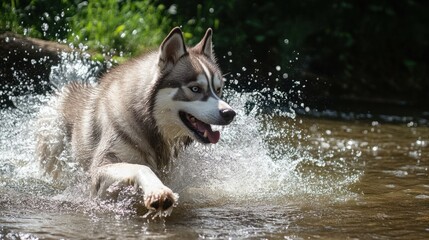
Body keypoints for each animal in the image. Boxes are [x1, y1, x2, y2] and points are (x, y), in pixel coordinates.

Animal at [36, 27, 236, 216]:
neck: (147, 124)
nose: (230, 113)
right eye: (195, 89)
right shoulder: (101, 168)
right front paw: (158, 191)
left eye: (218, 89)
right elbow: (141, 167)